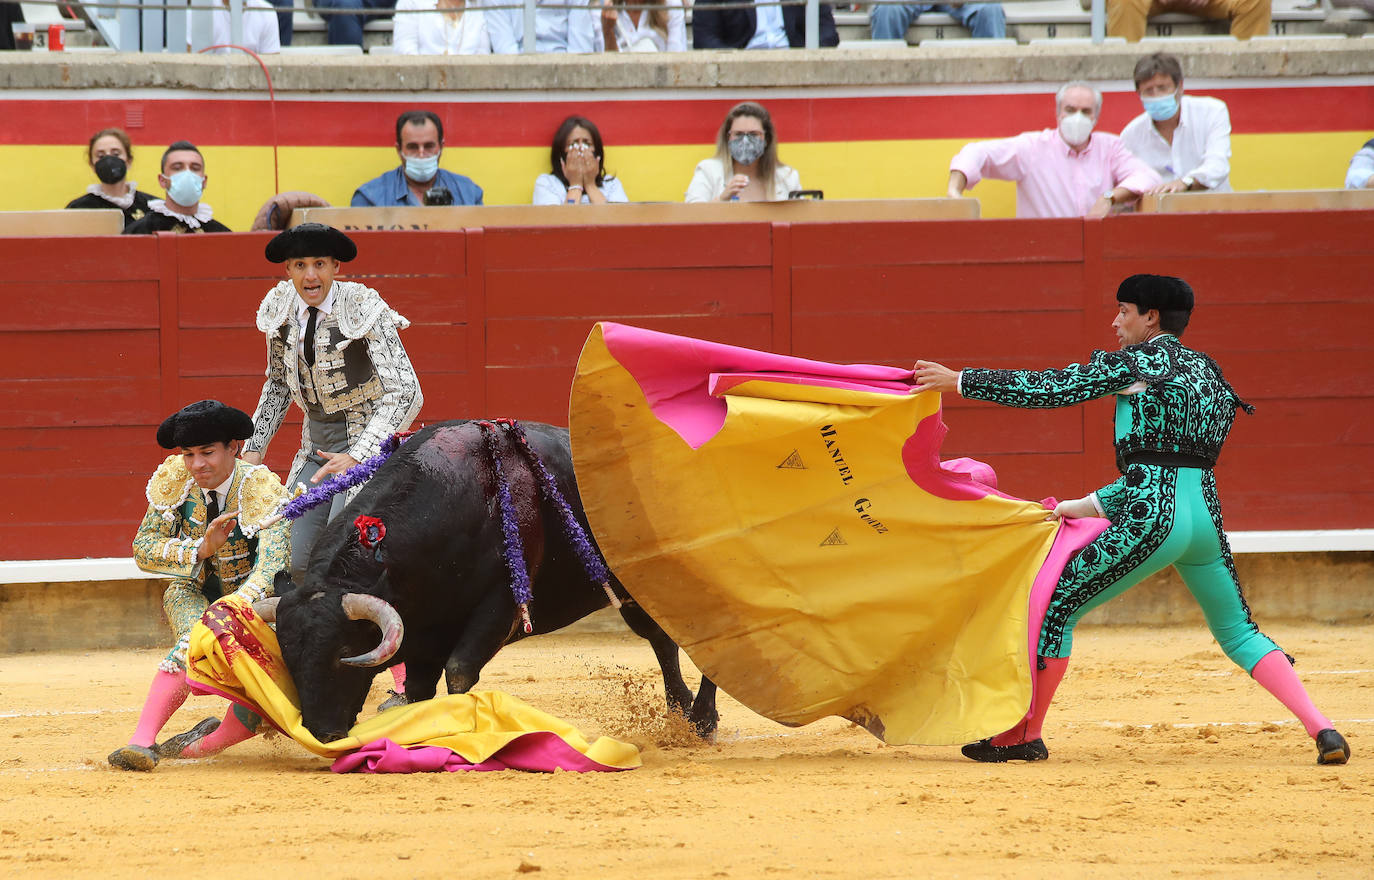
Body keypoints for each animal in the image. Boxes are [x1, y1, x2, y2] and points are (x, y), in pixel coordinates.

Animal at [255, 418, 719, 742]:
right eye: (288, 656)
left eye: (346, 652)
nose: (322, 732)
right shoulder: (423, 631)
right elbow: (419, 688)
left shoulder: (501, 608)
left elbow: (459, 672)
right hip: (636, 594)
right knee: (661, 638)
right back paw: (681, 712)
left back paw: (702, 720)